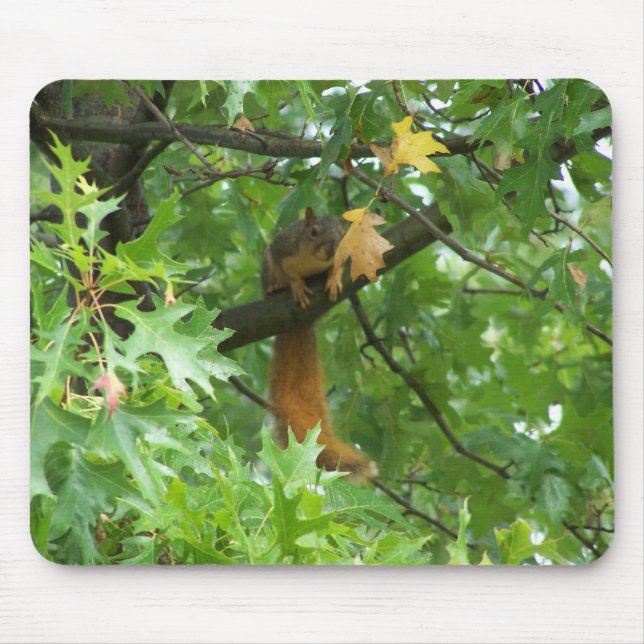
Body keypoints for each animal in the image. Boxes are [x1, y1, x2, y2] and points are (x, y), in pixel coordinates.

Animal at [261, 206, 377, 480]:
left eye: (342, 234)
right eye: (313, 232)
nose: (331, 249)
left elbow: (338, 267)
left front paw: (333, 278)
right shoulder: (282, 248)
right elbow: (285, 268)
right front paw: (296, 285)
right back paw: (274, 288)